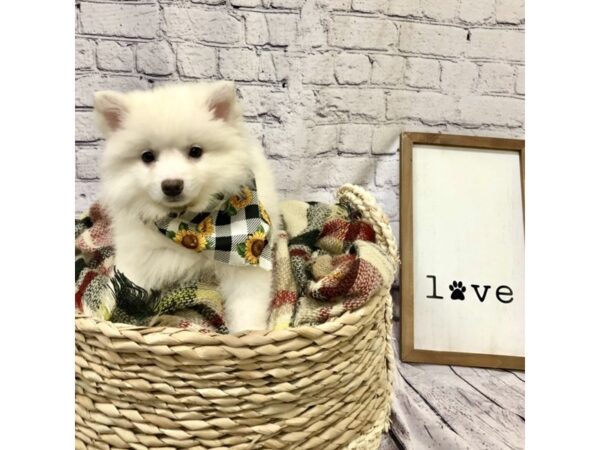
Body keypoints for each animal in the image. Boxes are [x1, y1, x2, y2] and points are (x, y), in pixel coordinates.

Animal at [94, 82, 282, 332]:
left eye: (196, 152)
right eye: (147, 156)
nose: (172, 185)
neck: (190, 226)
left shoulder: (247, 263)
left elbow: (247, 305)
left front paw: (247, 333)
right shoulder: (138, 256)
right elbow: (123, 285)